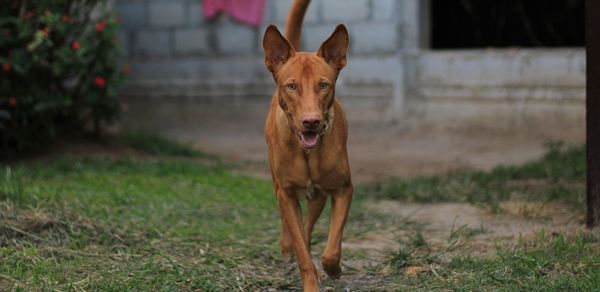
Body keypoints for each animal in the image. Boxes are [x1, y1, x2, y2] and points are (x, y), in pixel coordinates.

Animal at [262, 0, 352, 290]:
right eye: (292, 86)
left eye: (323, 85)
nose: (311, 122)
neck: (307, 151)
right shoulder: (287, 194)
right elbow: (301, 251)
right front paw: (310, 280)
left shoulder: (343, 190)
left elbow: (331, 250)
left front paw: (333, 269)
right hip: (278, 185)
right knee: (292, 228)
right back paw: (287, 247)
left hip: (318, 196)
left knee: (308, 225)